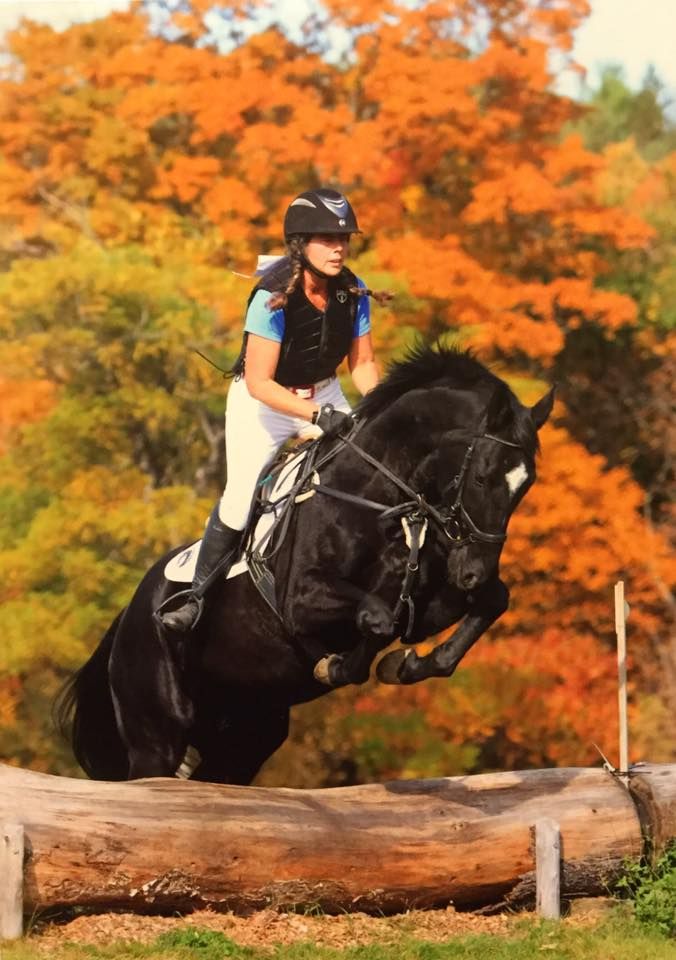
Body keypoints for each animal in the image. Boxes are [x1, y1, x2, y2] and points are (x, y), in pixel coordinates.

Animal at [56, 343, 554, 785]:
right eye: (482, 477)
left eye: (526, 486)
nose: (472, 570)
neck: (378, 493)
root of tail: (128, 615)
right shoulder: (301, 601)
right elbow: (378, 617)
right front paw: (338, 666)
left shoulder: (427, 607)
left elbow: (486, 602)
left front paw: (407, 666)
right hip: (157, 736)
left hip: (247, 737)